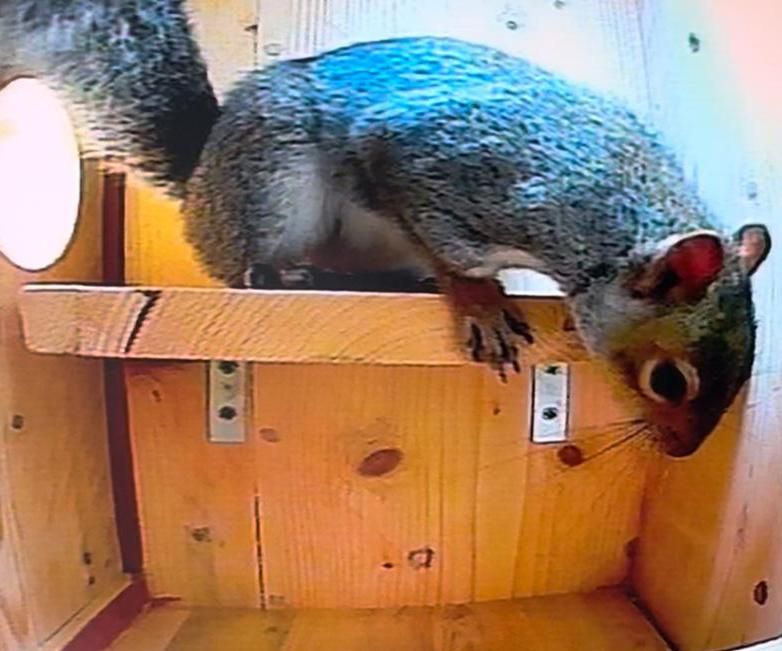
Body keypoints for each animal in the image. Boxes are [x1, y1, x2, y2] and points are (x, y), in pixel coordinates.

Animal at [0, 0, 771, 457]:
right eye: (668, 380)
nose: (681, 452)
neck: (614, 213)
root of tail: (201, 192)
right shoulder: (438, 166)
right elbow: (450, 248)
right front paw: (478, 300)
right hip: (270, 184)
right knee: (249, 269)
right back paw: (293, 275)